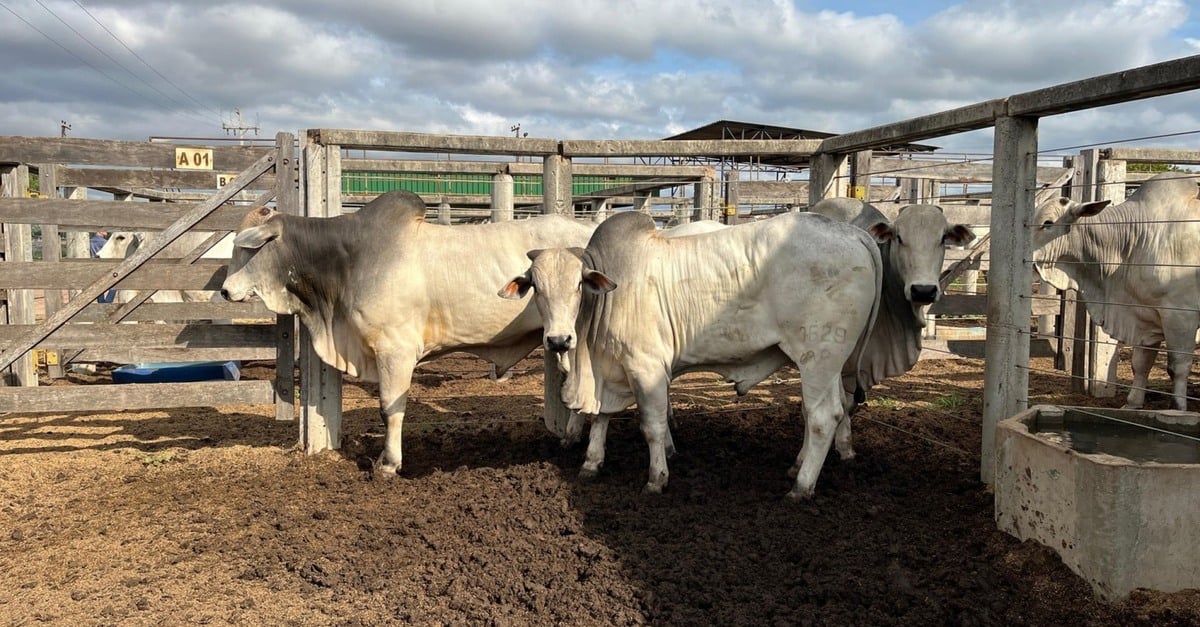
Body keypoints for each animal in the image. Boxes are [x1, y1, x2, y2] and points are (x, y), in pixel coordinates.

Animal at [220, 188, 595, 473]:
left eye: (246, 248)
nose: (224, 291)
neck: (347, 261)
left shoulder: (394, 350)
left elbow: (390, 408)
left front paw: (389, 463)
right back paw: (570, 438)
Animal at [496, 210, 883, 497]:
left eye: (579, 285)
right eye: (536, 288)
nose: (559, 341)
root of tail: (853, 234)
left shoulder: (646, 367)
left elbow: (651, 426)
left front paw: (656, 478)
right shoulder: (610, 367)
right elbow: (602, 417)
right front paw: (591, 463)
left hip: (820, 356)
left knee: (823, 416)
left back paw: (802, 486)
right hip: (824, 364)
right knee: (829, 408)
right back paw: (798, 466)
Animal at [1032, 170, 1200, 410]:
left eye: (1047, 223)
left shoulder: (1181, 315)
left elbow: (1177, 366)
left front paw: (1178, 409)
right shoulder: (1144, 317)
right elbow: (1140, 363)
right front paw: (1132, 404)